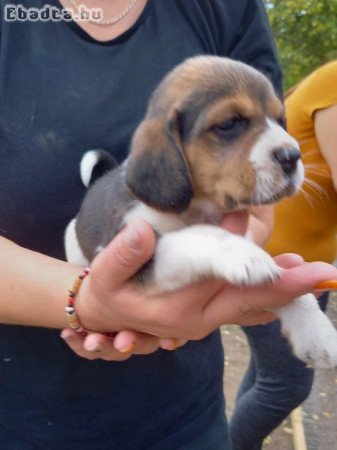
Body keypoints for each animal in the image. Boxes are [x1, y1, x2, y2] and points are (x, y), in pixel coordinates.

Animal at [65, 56, 336, 368]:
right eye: (230, 123)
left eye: (280, 120)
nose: (293, 156)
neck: (199, 208)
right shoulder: (142, 257)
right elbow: (202, 235)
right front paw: (247, 256)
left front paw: (317, 333)